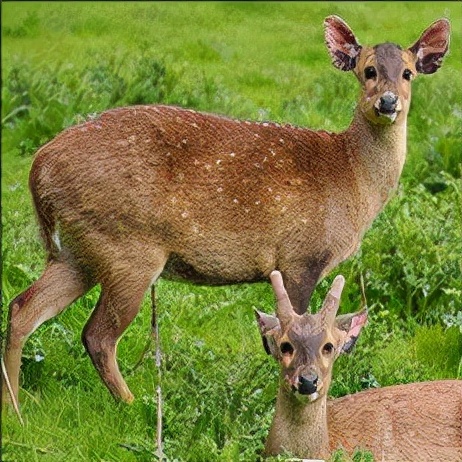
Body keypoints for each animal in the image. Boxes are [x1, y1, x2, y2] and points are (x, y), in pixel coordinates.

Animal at [2, 16, 452, 404]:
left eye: (408, 73)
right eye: (368, 70)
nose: (388, 102)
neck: (350, 178)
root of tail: (39, 167)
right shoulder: (300, 255)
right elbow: (295, 326)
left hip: (76, 249)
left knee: (23, 307)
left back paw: (16, 407)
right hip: (127, 245)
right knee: (96, 334)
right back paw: (132, 404)